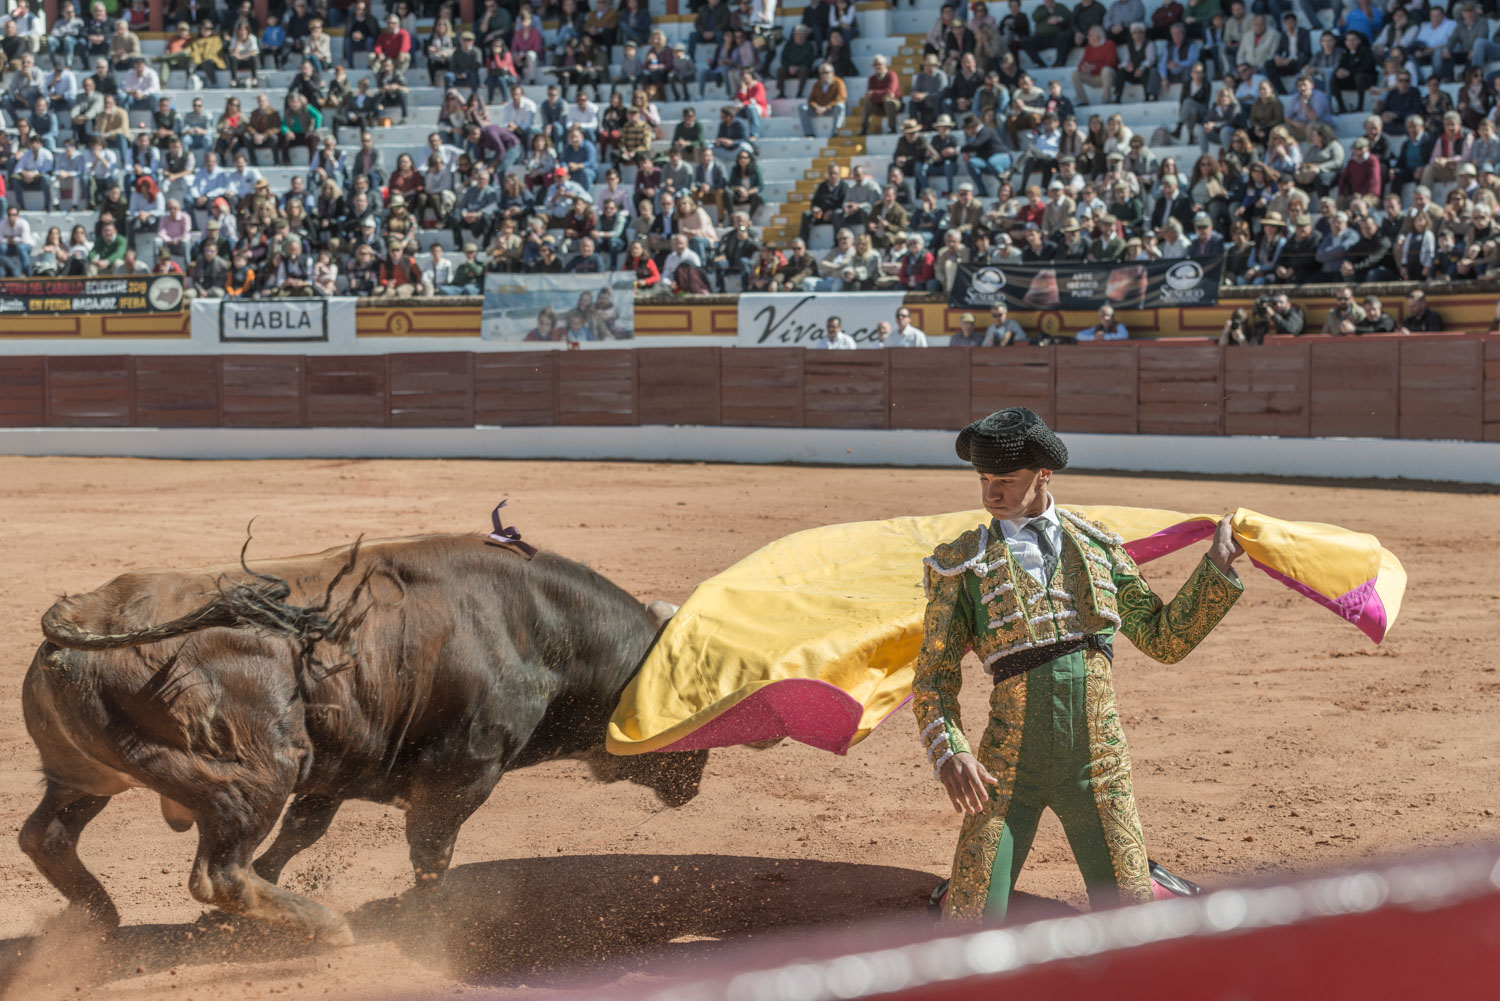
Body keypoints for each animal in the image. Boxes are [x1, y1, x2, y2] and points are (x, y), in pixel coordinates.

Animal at [19, 534, 707, 946]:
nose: (695, 784)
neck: (535, 625)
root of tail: (84, 614)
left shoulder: (335, 775)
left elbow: (301, 834)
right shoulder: (462, 774)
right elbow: (431, 855)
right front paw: (428, 926)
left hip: (87, 775)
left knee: (46, 835)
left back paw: (98, 923)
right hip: (260, 772)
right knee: (220, 871)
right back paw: (329, 928)